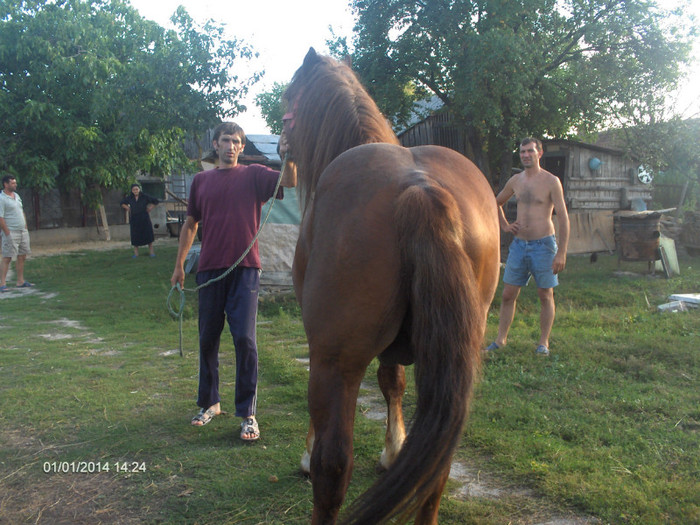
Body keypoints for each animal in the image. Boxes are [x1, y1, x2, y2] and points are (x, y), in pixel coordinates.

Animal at [282, 47, 500, 520]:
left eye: (288, 99)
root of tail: (419, 189)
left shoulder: (323, 351)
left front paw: (307, 455)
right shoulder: (397, 349)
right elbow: (393, 383)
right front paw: (394, 451)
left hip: (336, 363)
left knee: (334, 464)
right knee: (438, 468)